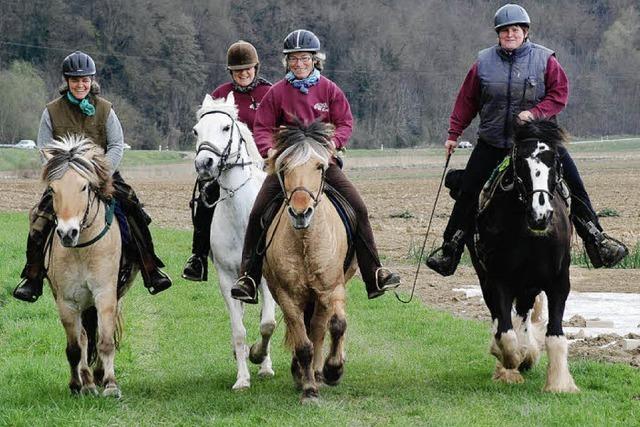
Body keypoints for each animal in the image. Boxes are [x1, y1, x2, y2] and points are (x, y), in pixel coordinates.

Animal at [42, 135, 136, 400]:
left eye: (84, 187)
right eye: (53, 189)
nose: (67, 233)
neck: (83, 248)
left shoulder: (105, 295)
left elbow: (105, 341)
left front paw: (111, 384)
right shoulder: (66, 301)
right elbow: (75, 347)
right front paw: (79, 385)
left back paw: (99, 376)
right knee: (84, 338)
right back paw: (88, 381)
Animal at [262, 123, 358, 404]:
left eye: (319, 166)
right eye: (284, 167)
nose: (300, 212)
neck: (305, 240)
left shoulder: (331, 289)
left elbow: (334, 326)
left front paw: (333, 370)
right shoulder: (287, 295)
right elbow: (303, 342)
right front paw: (308, 388)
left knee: (321, 328)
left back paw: (319, 370)